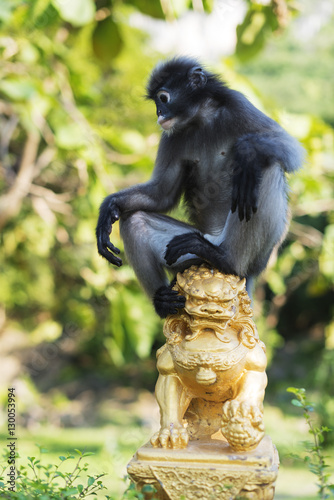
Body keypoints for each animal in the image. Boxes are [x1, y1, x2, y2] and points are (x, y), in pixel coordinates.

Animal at [95, 56, 304, 318]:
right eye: (156, 102)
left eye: (163, 98)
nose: (159, 113)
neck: (202, 118)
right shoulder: (171, 136)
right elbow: (161, 194)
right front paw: (108, 209)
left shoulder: (238, 105)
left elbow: (292, 150)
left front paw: (245, 150)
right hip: (187, 257)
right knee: (135, 222)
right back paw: (162, 302)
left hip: (257, 255)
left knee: (264, 167)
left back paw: (227, 259)